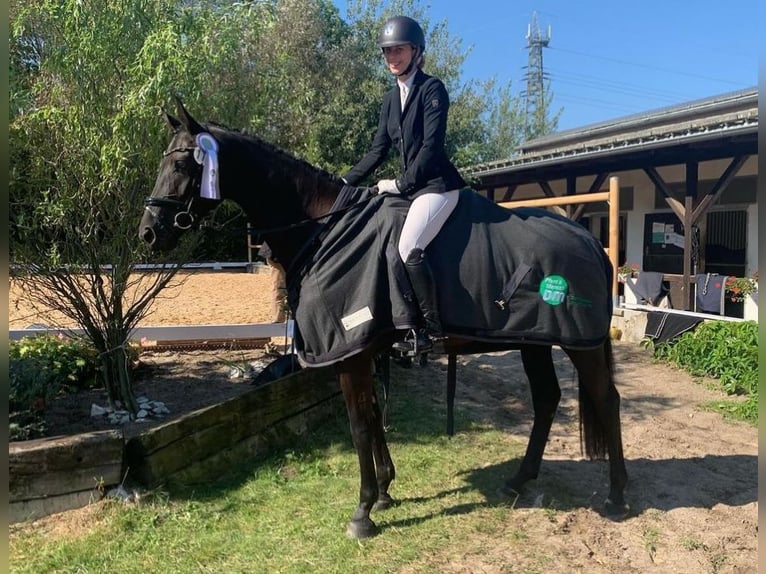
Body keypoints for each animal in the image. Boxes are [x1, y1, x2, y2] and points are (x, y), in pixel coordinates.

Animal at [139, 99, 628, 539]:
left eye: (181, 162)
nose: (148, 232)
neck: (326, 228)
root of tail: (589, 239)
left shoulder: (350, 354)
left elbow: (358, 423)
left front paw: (363, 511)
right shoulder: (368, 348)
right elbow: (375, 414)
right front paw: (387, 490)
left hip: (579, 345)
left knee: (606, 400)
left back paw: (617, 497)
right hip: (534, 341)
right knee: (546, 399)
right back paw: (519, 480)